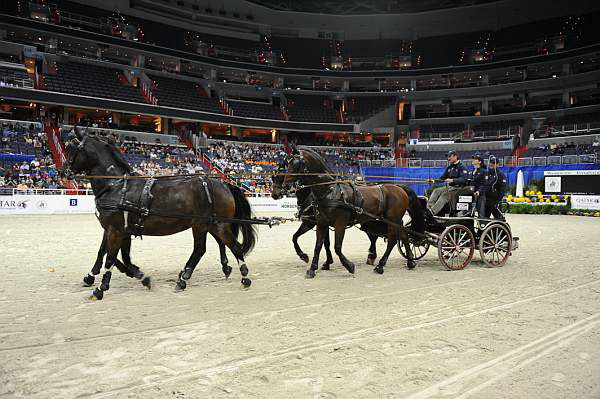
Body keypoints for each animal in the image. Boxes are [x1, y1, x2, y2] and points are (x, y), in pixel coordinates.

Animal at [65, 128, 258, 300]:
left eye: (72, 149)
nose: (63, 172)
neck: (116, 186)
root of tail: (223, 184)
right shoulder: (118, 230)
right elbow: (110, 255)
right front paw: (135, 276)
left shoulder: (116, 230)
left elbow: (111, 258)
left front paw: (100, 288)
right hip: (208, 224)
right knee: (213, 247)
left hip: (209, 224)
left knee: (221, 248)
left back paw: (240, 277)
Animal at [274, 145, 424, 280]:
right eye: (287, 164)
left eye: (296, 164)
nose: (284, 187)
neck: (329, 191)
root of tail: (400, 188)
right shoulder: (321, 222)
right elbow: (318, 246)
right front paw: (312, 268)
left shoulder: (338, 223)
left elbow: (337, 247)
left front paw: (349, 266)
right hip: (394, 220)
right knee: (403, 235)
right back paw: (410, 261)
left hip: (392, 219)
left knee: (392, 240)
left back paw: (380, 265)